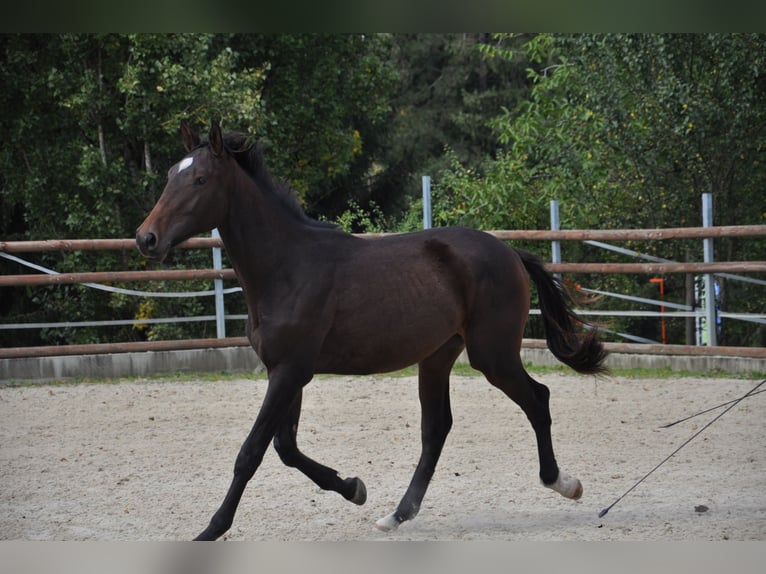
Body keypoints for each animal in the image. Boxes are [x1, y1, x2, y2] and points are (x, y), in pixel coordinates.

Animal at [135, 119, 608, 544]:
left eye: (199, 179)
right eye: (169, 176)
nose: (146, 238)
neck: (287, 267)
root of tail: (508, 251)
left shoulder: (290, 371)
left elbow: (251, 452)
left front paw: (211, 530)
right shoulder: (286, 372)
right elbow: (286, 448)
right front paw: (354, 488)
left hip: (492, 355)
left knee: (537, 399)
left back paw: (563, 483)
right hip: (438, 356)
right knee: (436, 429)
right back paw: (397, 515)